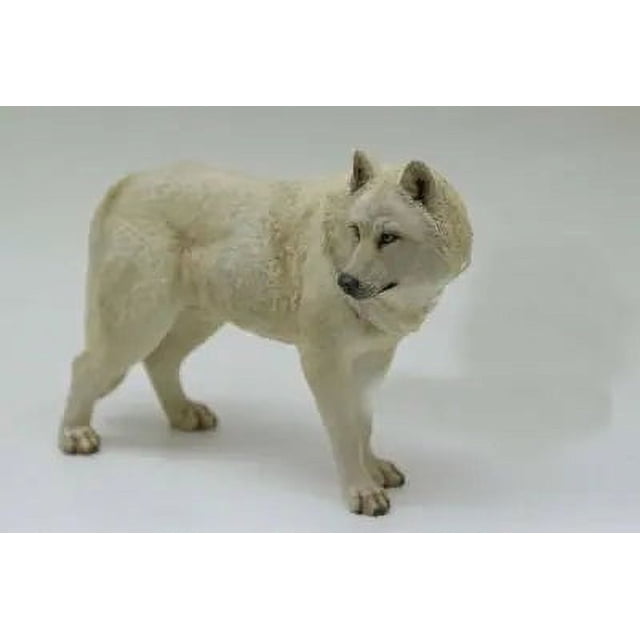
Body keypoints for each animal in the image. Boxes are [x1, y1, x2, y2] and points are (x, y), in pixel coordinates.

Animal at [58, 151, 472, 517]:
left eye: (388, 237)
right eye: (356, 232)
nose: (346, 282)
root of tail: (127, 181)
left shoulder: (373, 361)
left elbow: (364, 425)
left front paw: (372, 470)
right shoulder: (322, 362)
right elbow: (344, 430)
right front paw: (361, 491)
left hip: (198, 320)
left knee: (160, 360)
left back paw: (183, 414)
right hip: (137, 325)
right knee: (85, 366)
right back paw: (74, 433)